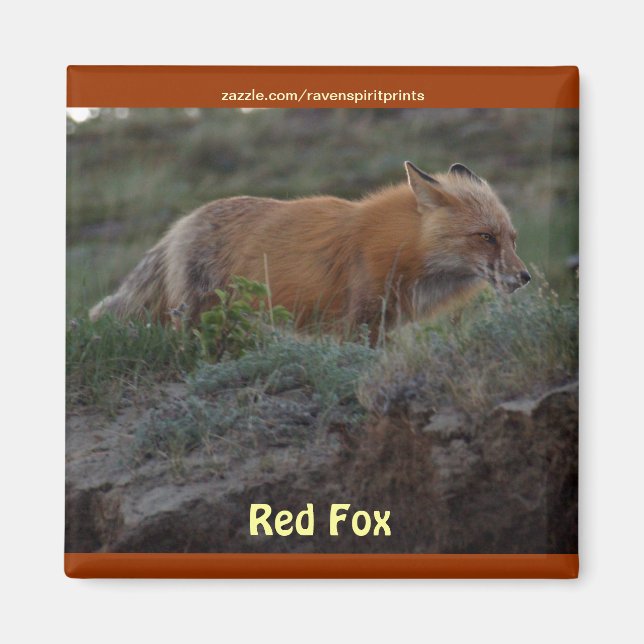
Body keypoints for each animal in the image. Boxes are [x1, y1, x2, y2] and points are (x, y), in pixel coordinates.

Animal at [90, 161, 530, 339]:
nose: (525, 277)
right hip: (202, 315)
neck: (404, 249)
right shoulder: (359, 321)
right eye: (485, 237)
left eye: (512, 238)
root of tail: (182, 222)